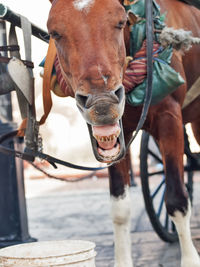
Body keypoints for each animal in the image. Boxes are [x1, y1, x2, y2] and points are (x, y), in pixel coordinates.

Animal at [47, 1, 200, 266]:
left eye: (120, 22)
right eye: (54, 32)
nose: (102, 102)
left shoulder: (169, 118)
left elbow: (177, 200)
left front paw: (190, 259)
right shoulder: (116, 135)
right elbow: (120, 207)